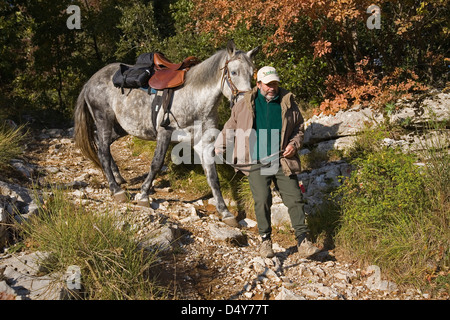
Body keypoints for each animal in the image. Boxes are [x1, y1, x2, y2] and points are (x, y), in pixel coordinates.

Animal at [73, 40, 256, 228]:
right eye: (233, 72)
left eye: (252, 74)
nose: (246, 103)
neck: (195, 99)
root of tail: (90, 82)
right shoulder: (164, 133)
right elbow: (156, 163)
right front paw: (144, 195)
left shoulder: (203, 143)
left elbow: (212, 176)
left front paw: (225, 212)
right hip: (104, 121)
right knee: (102, 151)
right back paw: (116, 190)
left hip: (120, 128)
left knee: (103, 145)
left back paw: (117, 177)